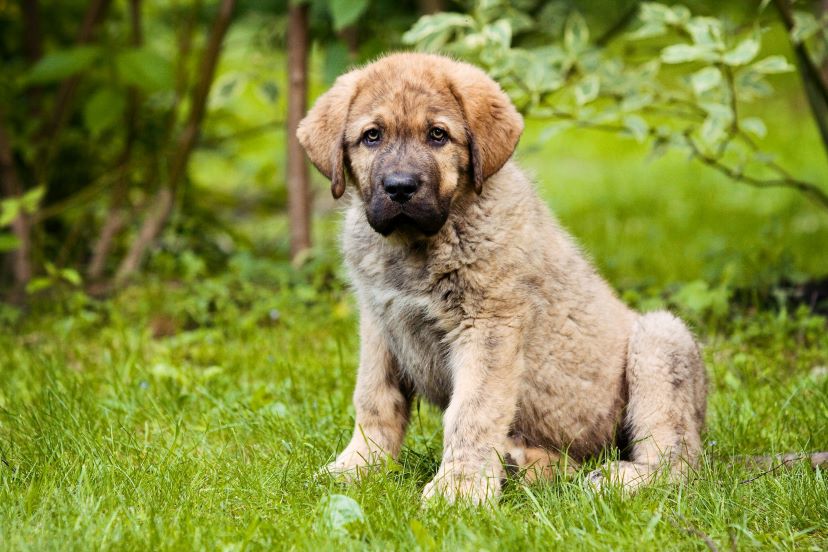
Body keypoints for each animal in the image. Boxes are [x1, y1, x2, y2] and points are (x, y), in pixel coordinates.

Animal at [296, 52, 704, 504]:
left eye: (437, 135)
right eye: (372, 136)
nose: (400, 188)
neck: (417, 245)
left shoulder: (488, 325)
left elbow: (472, 411)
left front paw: (459, 488)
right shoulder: (380, 324)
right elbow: (373, 400)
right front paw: (358, 466)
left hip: (660, 339)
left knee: (678, 459)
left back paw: (620, 478)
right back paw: (525, 464)